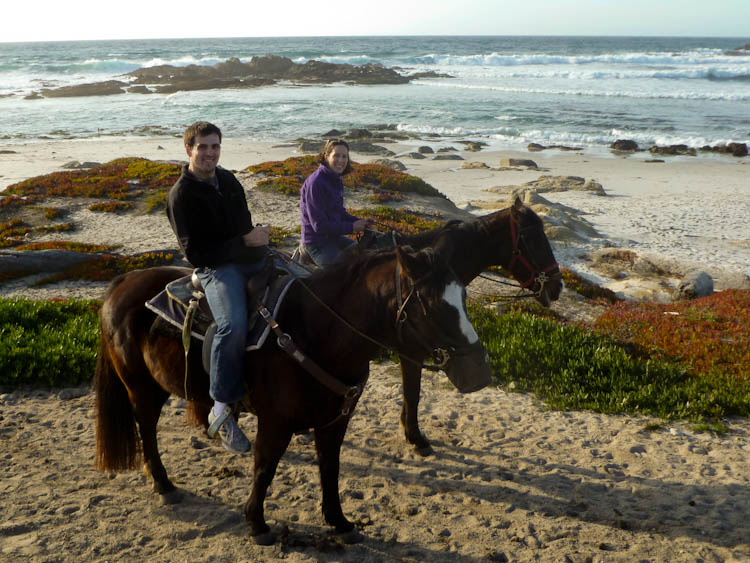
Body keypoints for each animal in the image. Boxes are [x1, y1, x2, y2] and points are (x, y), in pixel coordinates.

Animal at [94, 247, 494, 548]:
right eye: (431, 304)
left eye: (464, 297)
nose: (480, 371)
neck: (316, 333)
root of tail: (122, 283)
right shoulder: (276, 423)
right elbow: (264, 467)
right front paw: (257, 523)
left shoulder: (335, 421)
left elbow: (329, 467)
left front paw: (339, 521)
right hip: (142, 387)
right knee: (146, 429)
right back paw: (163, 484)